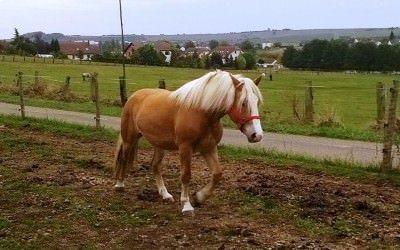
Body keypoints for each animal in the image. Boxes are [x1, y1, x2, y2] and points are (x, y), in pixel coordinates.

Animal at [114, 70, 264, 213]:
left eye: (257, 102)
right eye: (243, 102)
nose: (257, 135)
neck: (201, 113)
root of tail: (134, 96)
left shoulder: (209, 148)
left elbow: (217, 174)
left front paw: (199, 197)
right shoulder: (185, 148)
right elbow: (186, 175)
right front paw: (186, 205)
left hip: (159, 145)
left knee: (155, 166)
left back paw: (165, 194)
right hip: (129, 139)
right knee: (124, 158)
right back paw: (119, 184)